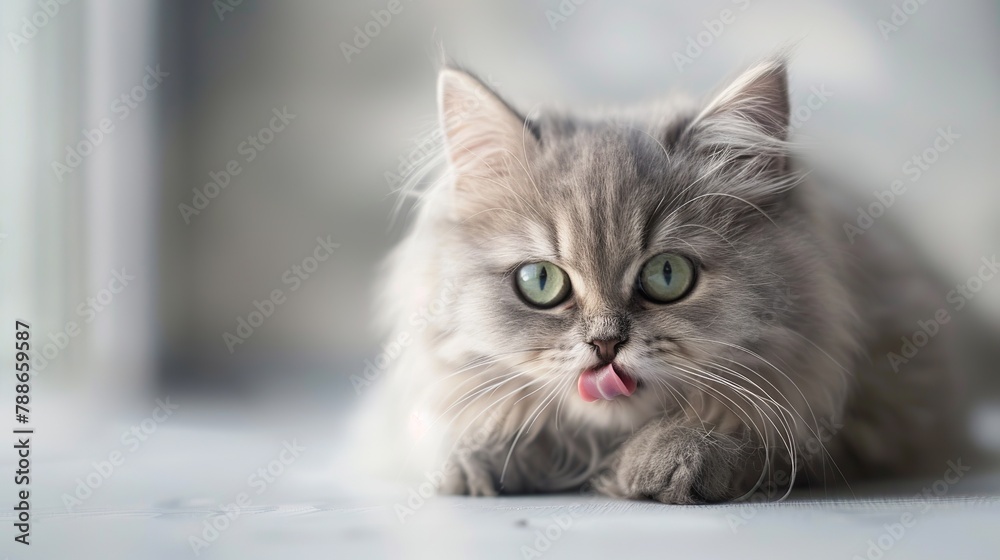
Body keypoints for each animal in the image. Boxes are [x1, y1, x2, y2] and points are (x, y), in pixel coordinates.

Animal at [364, 60, 964, 504]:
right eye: (540, 282)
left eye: (667, 275)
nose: (606, 345)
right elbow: (485, 415)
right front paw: (482, 455)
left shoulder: (872, 406)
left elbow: (750, 428)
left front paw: (672, 458)